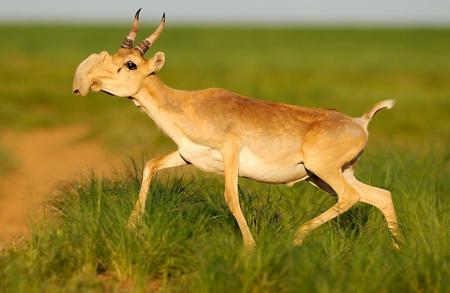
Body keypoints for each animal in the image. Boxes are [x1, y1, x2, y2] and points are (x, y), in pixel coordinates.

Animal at [74, 9, 400, 249]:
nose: (87, 83)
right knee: (381, 196)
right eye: (113, 57)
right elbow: (150, 165)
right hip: (326, 176)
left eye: (130, 64)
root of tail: (360, 122)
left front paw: (250, 246)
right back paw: (397, 250)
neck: (187, 104)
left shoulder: (230, 153)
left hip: (323, 172)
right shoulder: (187, 155)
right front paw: (131, 226)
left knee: (351, 197)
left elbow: (231, 196)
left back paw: (296, 237)